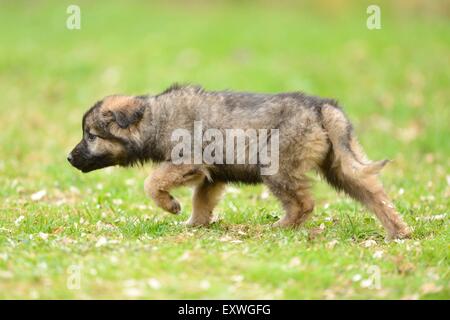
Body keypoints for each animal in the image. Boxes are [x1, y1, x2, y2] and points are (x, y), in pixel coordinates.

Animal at [67, 84, 412, 239]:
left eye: (91, 135)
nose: (69, 158)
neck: (155, 117)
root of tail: (321, 107)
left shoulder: (187, 162)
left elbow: (151, 182)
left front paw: (170, 205)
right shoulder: (212, 175)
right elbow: (201, 201)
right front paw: (194, 224)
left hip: (276, 167)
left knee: (303, 203)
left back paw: (281, 227)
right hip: (341, 165)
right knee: (375, 193)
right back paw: (399, 232)